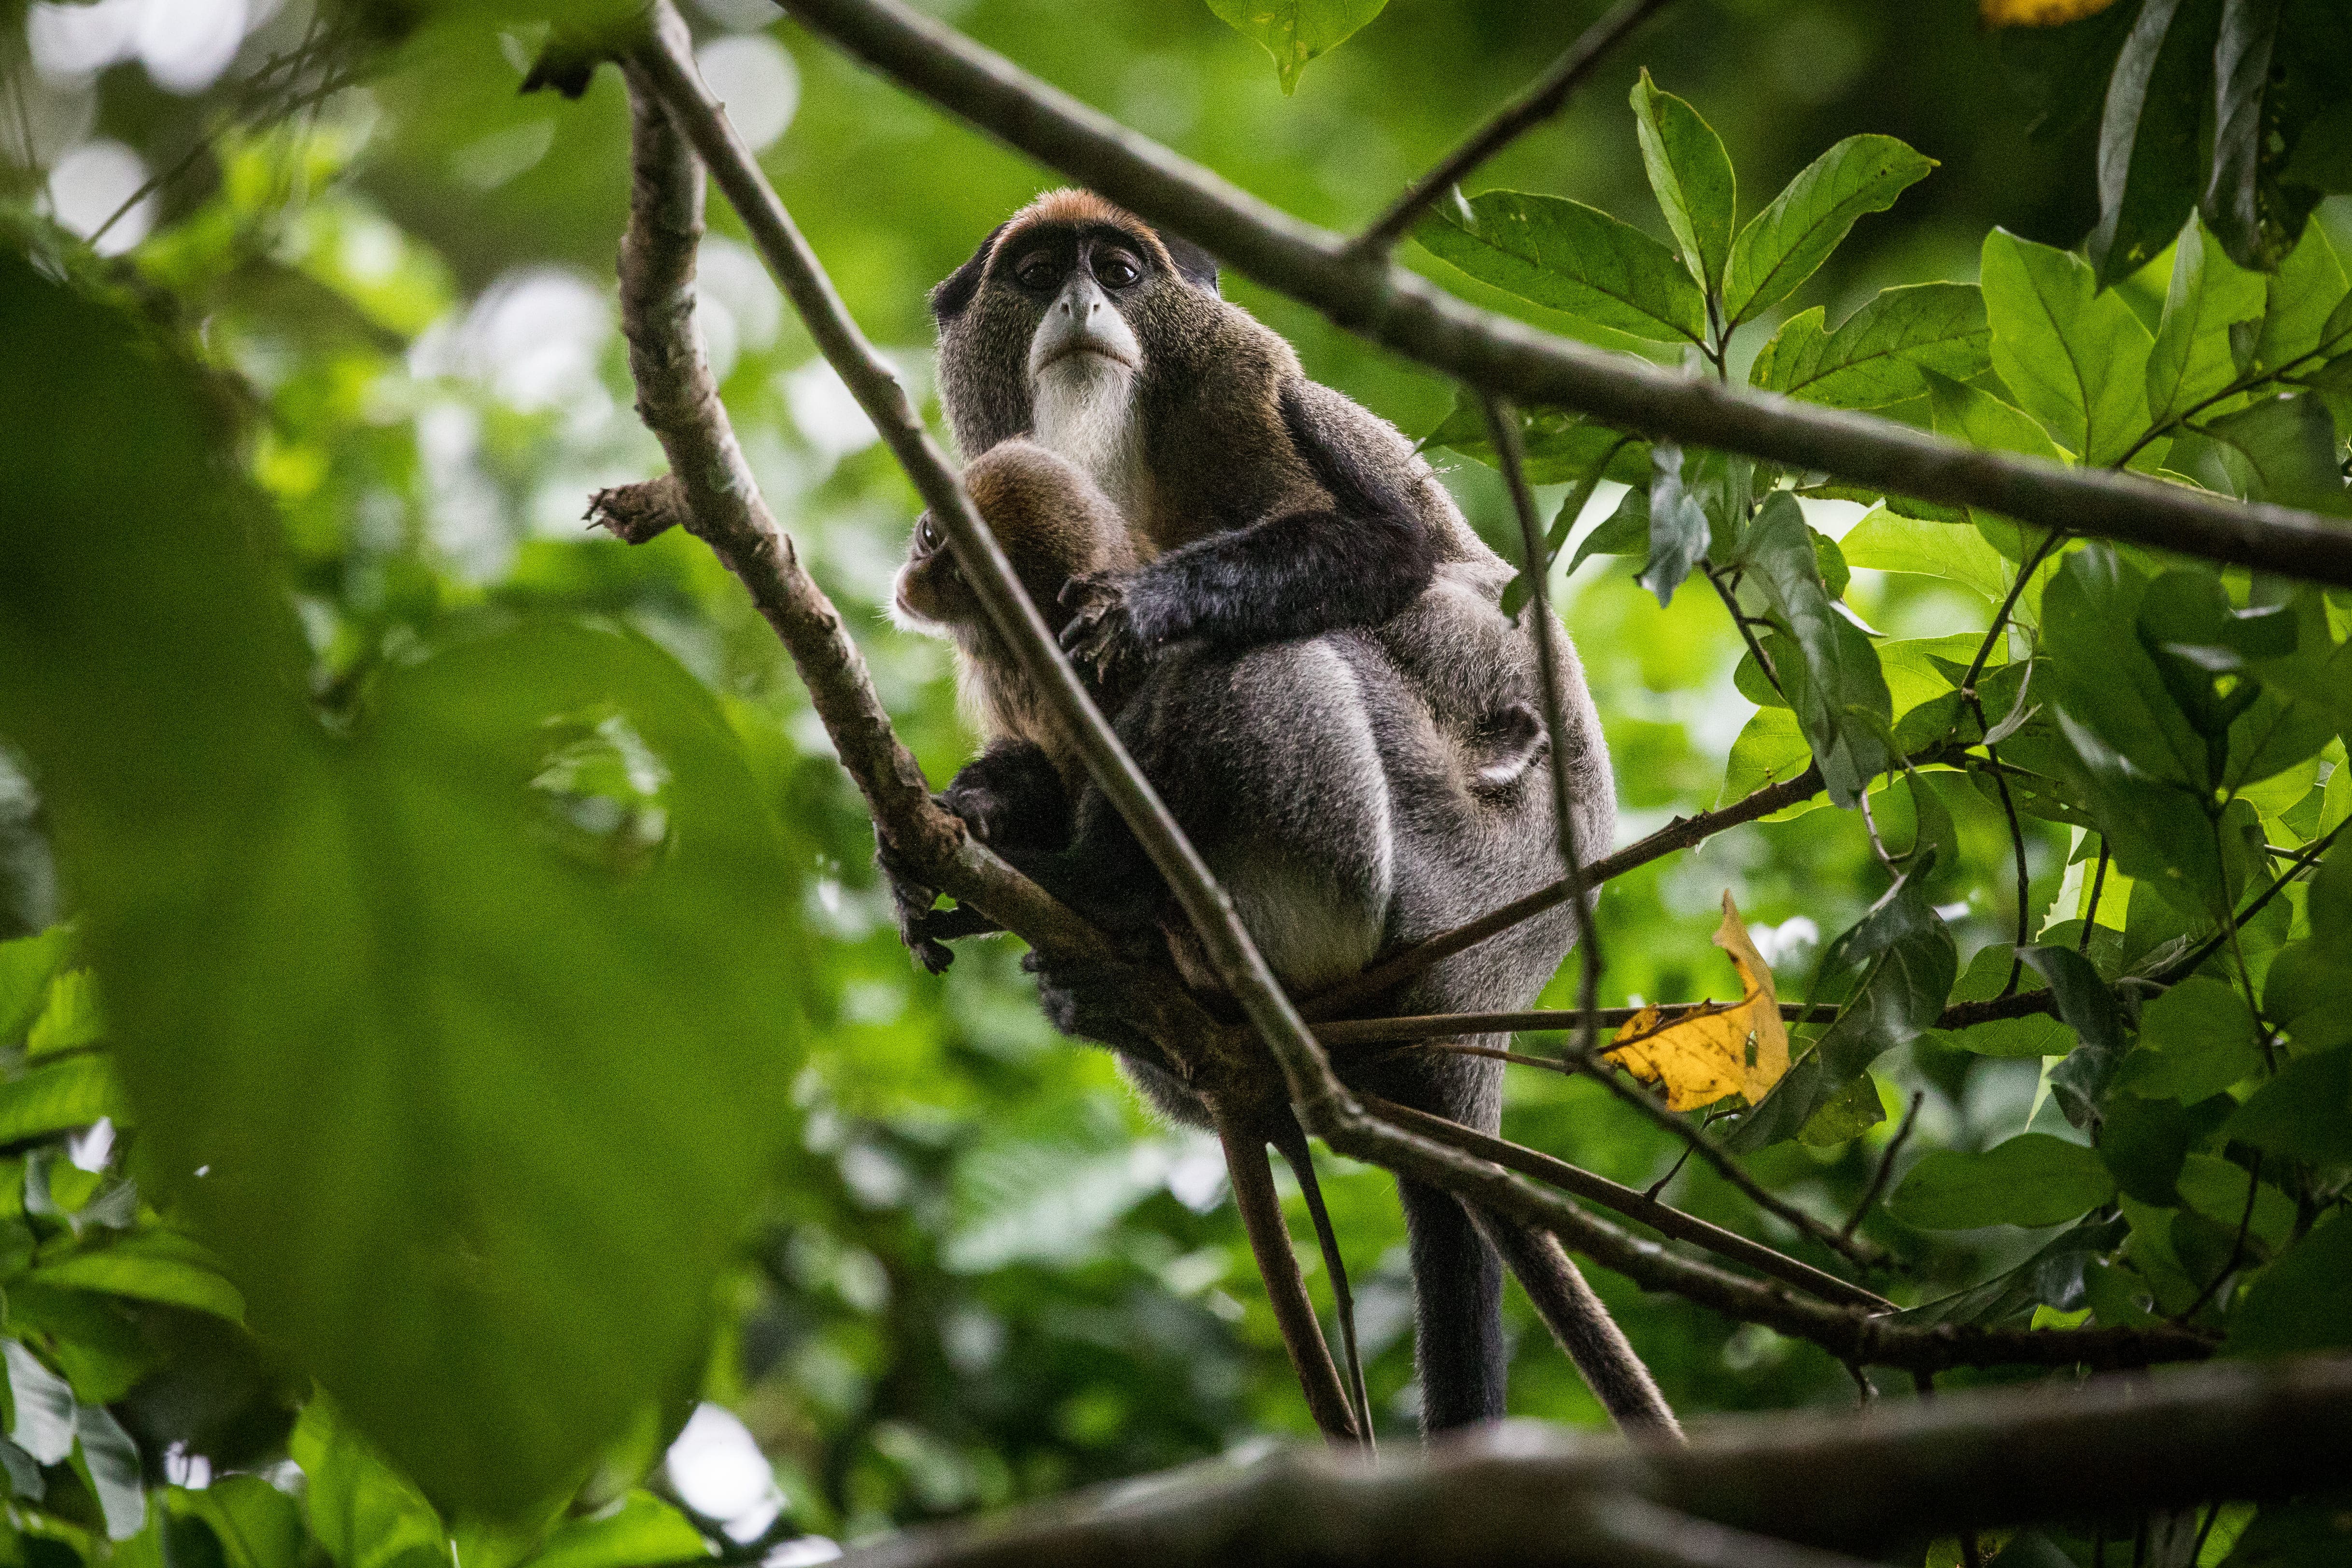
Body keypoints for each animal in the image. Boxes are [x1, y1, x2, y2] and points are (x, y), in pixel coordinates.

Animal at [891, 429, 1679, 1439]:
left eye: (932, 537)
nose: (911, 570)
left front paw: (1070, 863)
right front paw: (963, 826)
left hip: (1365, 880)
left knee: (1256, 659)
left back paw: (1103, 898)